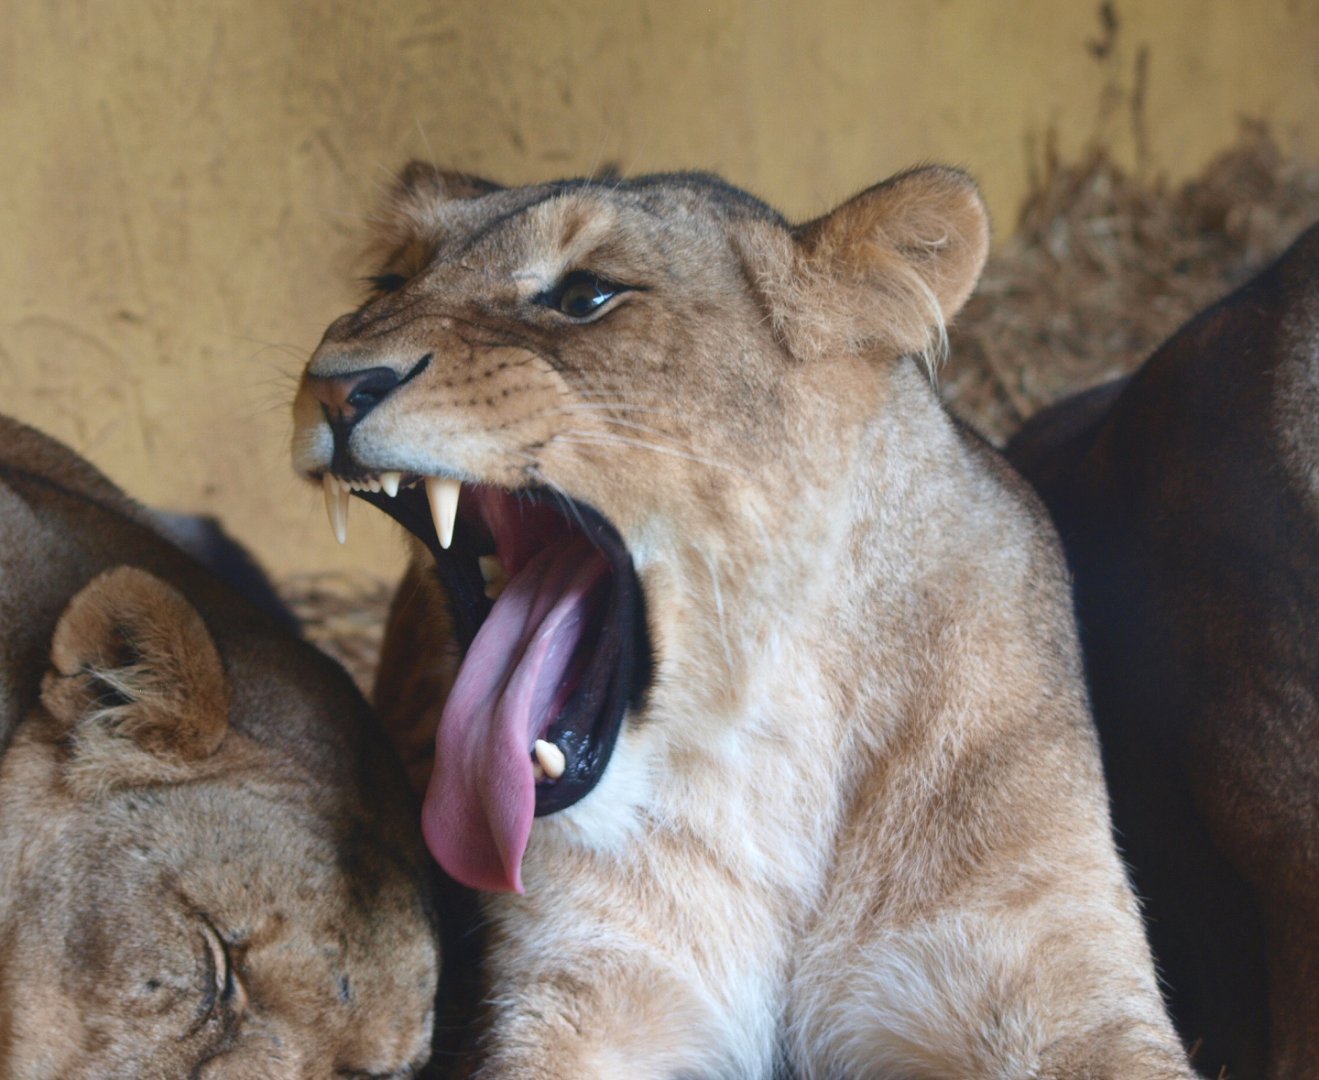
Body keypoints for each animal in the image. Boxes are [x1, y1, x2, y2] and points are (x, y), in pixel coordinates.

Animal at [291, 163, 1193, 1078]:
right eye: (390, 282)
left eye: (585, 296)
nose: (334, 385)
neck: (773, 740)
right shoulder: (585, 984)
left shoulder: (1055, 971)